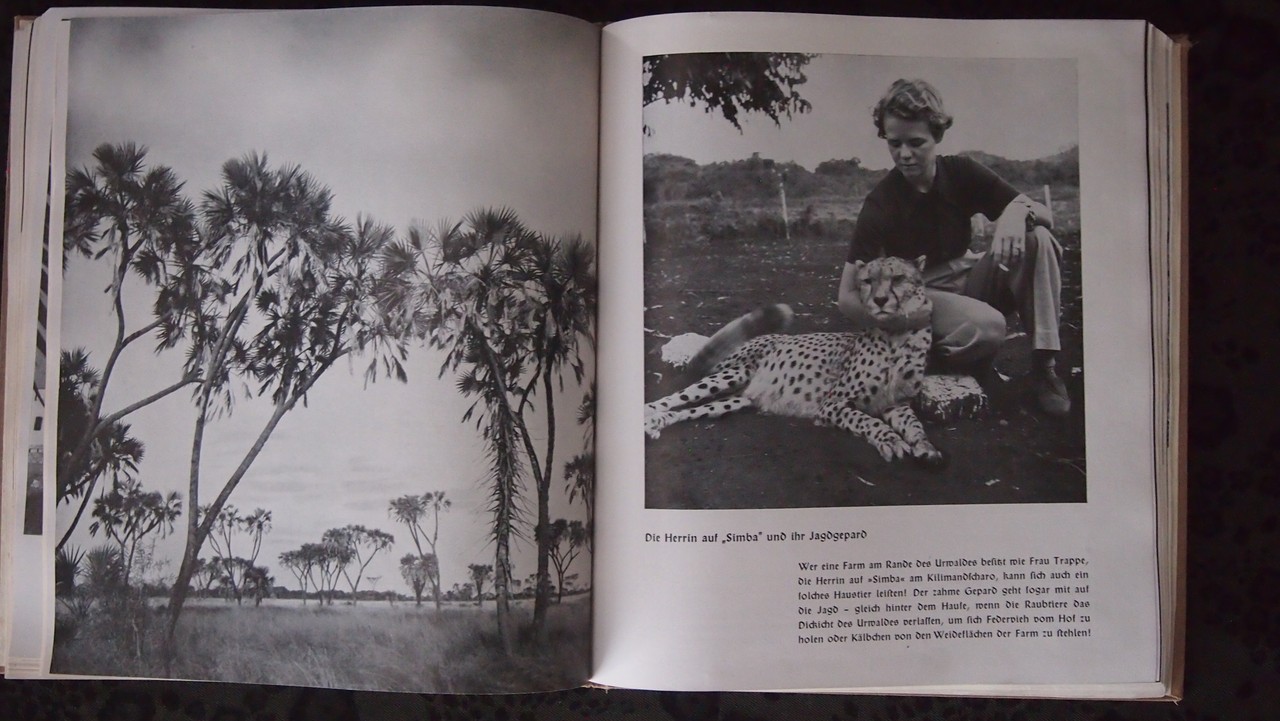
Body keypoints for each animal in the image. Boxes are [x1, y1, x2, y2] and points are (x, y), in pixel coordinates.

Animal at [645, 256, 947, 466]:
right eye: (867, 281)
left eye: (897, 278)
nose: (880, 300)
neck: (897, 336)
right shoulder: (832, 405)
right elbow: (868, 421)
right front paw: (890, 439)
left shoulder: (896, 404)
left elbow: (915, 425)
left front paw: (926, 447)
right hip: (732, 375)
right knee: (668, 400)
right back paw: (649, 417)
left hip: (738, 399)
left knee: (687, 410)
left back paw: (658, 422)